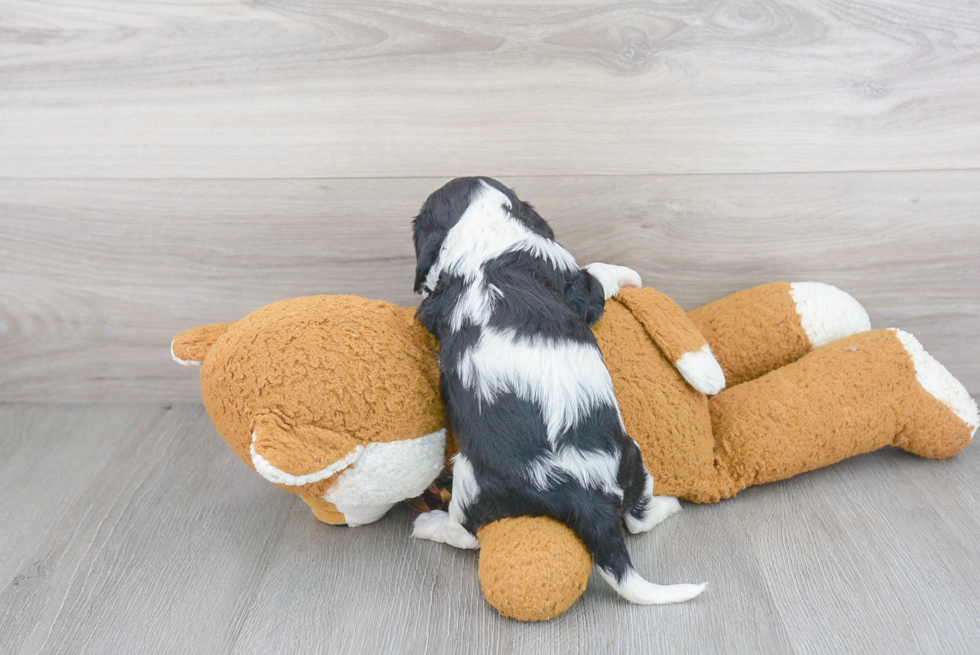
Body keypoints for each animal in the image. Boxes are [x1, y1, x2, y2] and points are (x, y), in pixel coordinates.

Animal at [408, 176, 704, 604]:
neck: (484, 234)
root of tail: (582, 493)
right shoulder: (572, 278)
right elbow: (597, 273)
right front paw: (629, 274)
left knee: (636, 518)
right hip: (494, 475)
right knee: (466, 533)